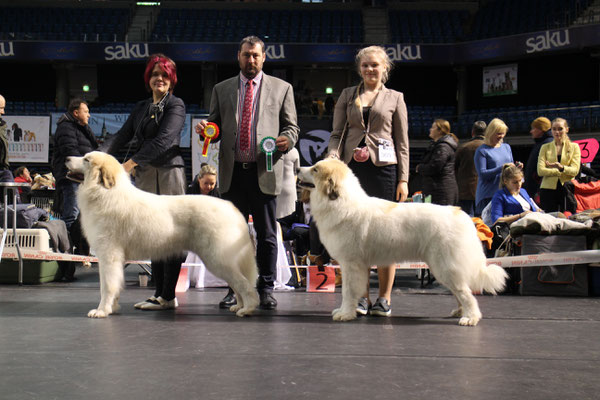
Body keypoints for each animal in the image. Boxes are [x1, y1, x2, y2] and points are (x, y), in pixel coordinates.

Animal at [67, 152, 258, 318]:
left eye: (86, 160)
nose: (67, 158)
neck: (104, 192)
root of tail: (231, 208)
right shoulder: (112, 259)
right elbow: (113, 285)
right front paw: (112, 308)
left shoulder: (108, 255)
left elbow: (106, 287)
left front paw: (102, 311)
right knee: (238, 285)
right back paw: (238, 306)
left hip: (217, 259)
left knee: (245, 285)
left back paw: (247, 309)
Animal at [298, 158, 508, 326]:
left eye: (315, 169)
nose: (298, 168)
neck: (341, 202)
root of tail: (460, 214)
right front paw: (346, 311)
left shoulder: (351, 264)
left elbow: (348, 292)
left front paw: (345, 314)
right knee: (460, 291)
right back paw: (460, 311)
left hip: (444, 266)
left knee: (466, 292)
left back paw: (470, 317)